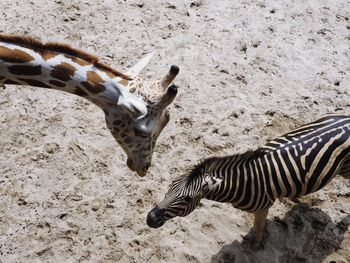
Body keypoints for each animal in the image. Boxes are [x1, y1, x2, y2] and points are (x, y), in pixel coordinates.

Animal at [146, 114, 350, 249]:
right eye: (171, 186)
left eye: (188, 199)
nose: (150, 218)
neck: (242, 182)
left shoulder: (263, 208)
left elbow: (258, 227)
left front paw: (256, 246)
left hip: (346, 170)